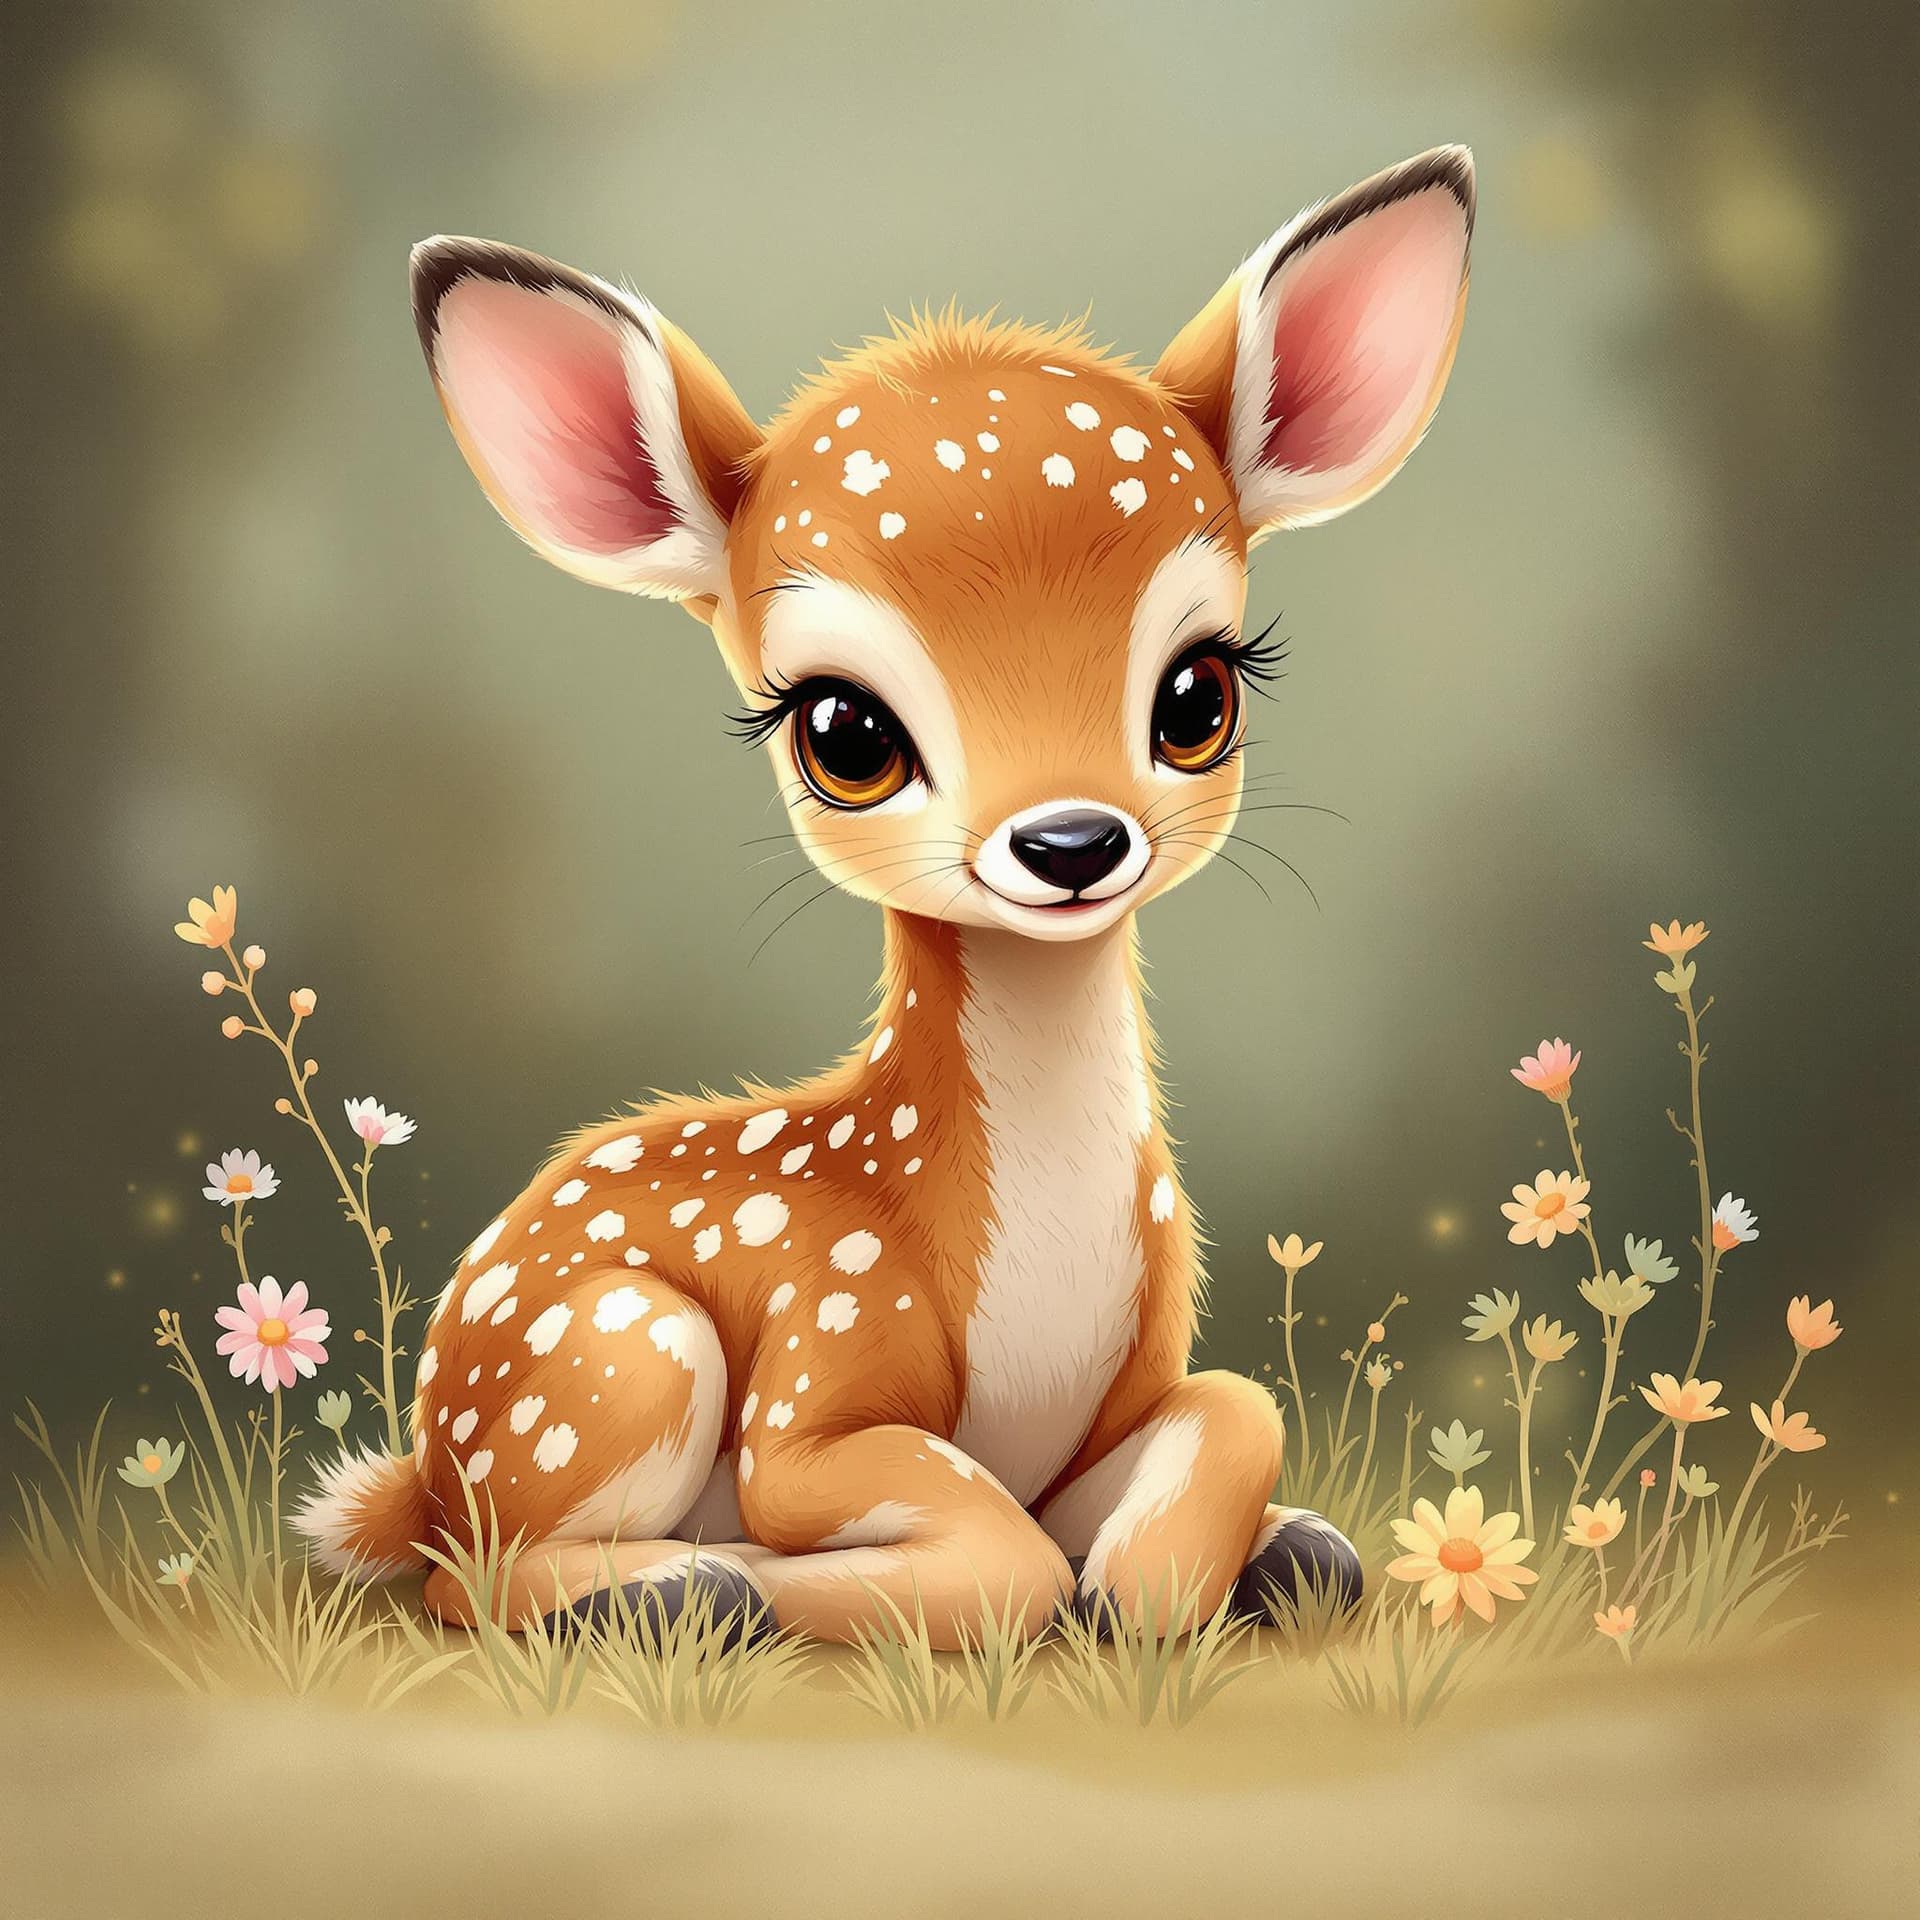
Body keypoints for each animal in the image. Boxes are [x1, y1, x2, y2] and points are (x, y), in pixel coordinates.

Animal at [295, 147, 1475, 1649]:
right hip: (622, 1355)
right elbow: (998, 1565)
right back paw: (679, 1585)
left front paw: (1225, 1560)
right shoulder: (812, 1380)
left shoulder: (1101, 1424)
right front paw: (801, 1581)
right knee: (471, 1572)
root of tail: (419, 1464)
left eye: (1199, 695)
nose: (1071, 839)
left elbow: (1232, 1410)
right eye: (843, 731)